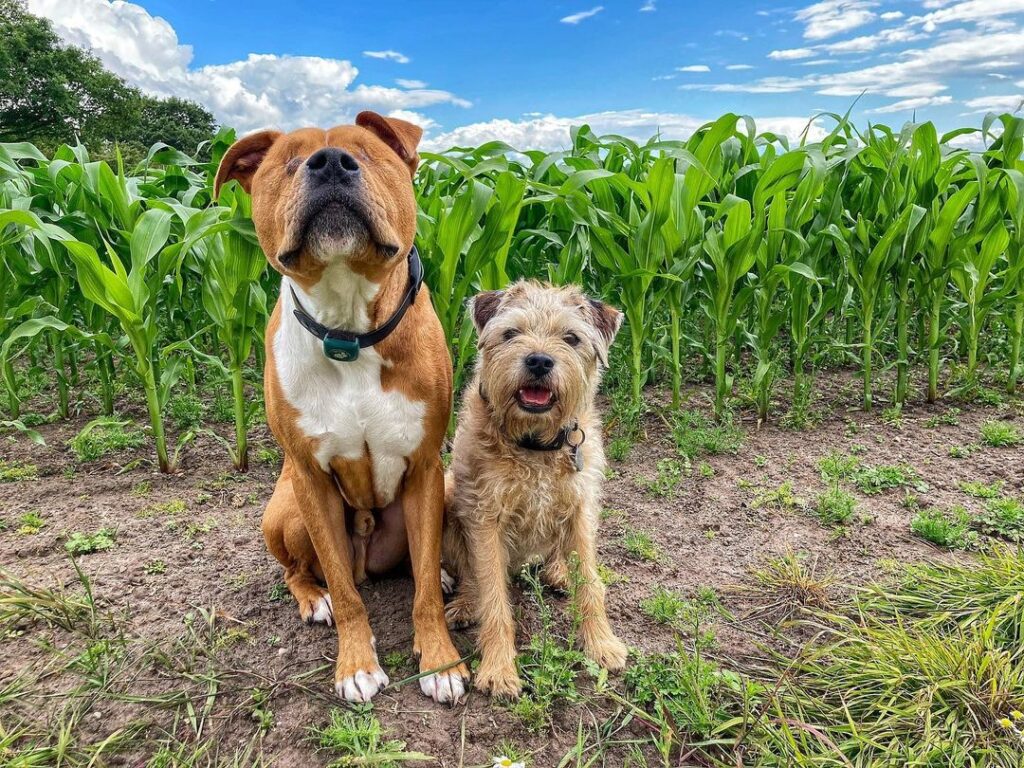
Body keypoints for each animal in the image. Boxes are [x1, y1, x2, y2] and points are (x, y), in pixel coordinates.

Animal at [217, 111, 471, 708]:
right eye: (288, 162)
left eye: (369, 153)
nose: (330, 162)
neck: (349, 326)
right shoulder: (311, 479)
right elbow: (341, 585)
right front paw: (355, 664)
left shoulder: (426, 469)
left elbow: (424, 591)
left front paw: (441, 659)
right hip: (286, 511)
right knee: (304, 572)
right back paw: (315, 599)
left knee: (418, 565)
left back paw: (442, 575)